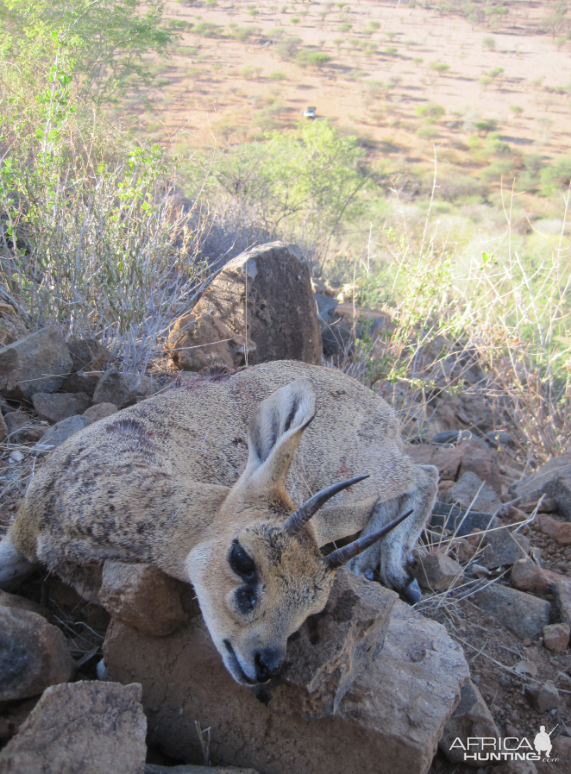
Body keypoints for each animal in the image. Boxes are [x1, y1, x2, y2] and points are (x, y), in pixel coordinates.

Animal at [0, 362, 438, 684]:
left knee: (424, 474)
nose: (265, 664)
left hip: (362, 475)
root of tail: (385, 408)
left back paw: (393, 570)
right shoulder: (20, 537)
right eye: (242, 560)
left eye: (314, 608)